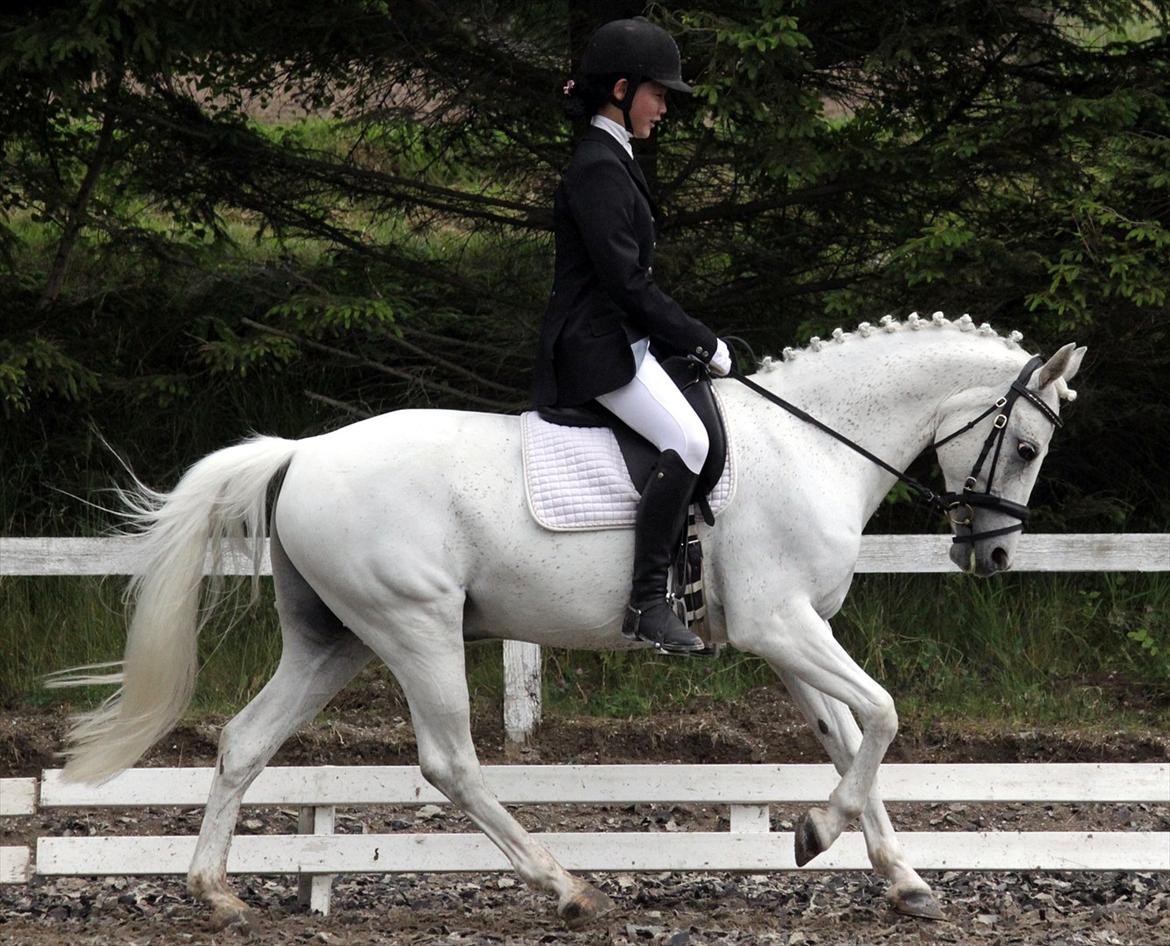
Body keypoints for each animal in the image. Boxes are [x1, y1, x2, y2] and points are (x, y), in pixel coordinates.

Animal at [59, 313, 1085, 926]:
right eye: (1029, 446)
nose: (992, 559)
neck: (811, 444)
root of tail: (302, 452)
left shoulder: (795, 637)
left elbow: (849, 737)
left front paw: (898, 876)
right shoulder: (782, 627)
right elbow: (882, 715)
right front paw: (818, 835)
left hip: (333, 640)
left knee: (244, 740)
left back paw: (215, 893)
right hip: (415, 627)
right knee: (450, 763)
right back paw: (566, 887)